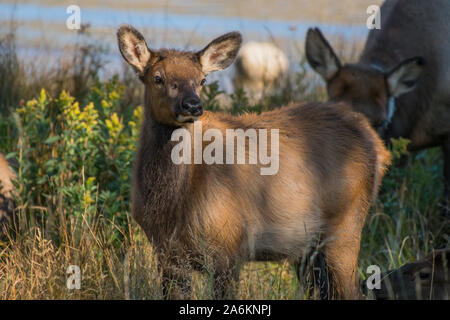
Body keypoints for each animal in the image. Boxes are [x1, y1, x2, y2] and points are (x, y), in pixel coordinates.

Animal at [118, 25, 392, 300]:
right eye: (158, 78)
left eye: (202, 80)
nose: (193, 105)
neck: (171, 206)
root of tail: (377, 145)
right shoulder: (167, 254)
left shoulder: (228, 246)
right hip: (310, 248)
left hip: (346, 225)